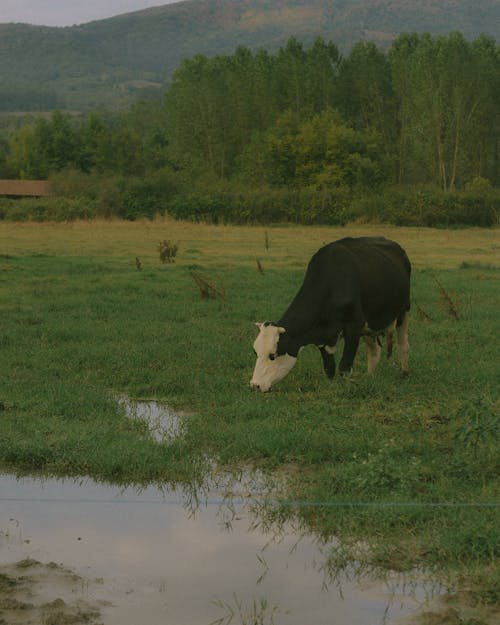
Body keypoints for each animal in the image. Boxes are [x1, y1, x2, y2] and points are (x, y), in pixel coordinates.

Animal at [250, 236, 410, 392]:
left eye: (272, 355)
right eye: (255, 352)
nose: (255, 385)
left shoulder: (354, 325)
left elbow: (344, 366)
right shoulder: (324, 336)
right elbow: (329, 368)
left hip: (403, 311)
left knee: (403, 343)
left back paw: (404, 373)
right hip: (370, 324)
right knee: (374, 350)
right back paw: (369, 378)